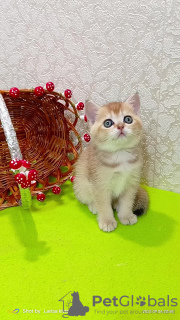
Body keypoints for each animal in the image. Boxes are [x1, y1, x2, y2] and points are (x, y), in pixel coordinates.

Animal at [73, 94, 149, 231]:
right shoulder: (100, 185)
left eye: (128, 119)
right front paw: (107, 221)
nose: (120, 126)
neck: (120, 154)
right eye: (108, 123)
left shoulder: (131, 182)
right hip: (80, 185)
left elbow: (127, 201)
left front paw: (126, 215)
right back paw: (94, 206)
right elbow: (103, 205)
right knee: (88, 198)